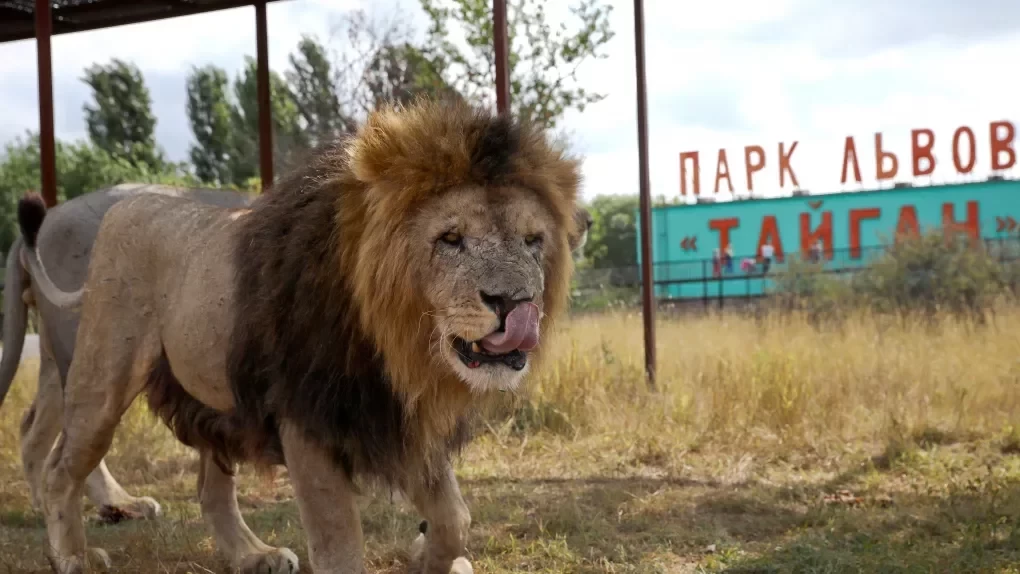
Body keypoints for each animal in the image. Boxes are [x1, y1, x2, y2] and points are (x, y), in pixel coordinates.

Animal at [0, 184, 252, 521]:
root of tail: (52, 213)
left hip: (60, 352)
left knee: (33, 427)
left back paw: (46, 507)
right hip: (95, 345)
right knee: (76, 442)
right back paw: (117, 504)